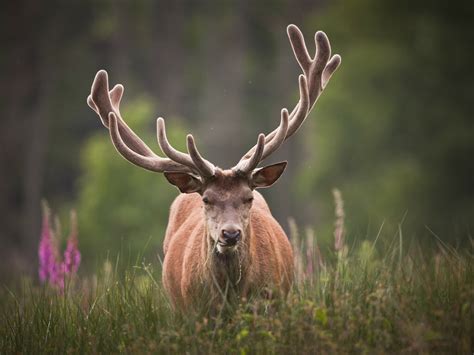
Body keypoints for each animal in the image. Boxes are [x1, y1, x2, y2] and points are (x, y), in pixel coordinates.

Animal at [87, 23, 338, 310]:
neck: (231, 295)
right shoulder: (193, 311)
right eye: (206, 199)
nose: (230, 234)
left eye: (248, 197)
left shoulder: (274, 301)